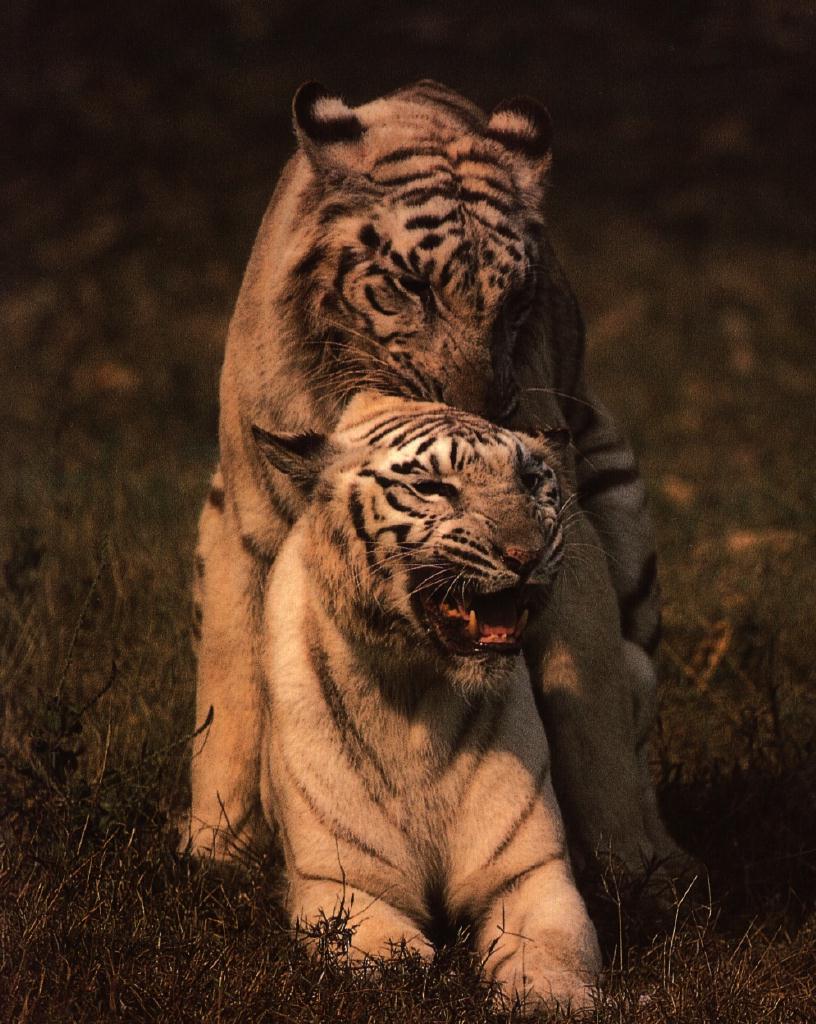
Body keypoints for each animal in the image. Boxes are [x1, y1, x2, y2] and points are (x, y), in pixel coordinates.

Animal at [255, 393, 606, 1015]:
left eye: (531, 480)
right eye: (433, 488)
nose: (527, 554)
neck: (414, 692)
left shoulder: (528, 872)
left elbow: (554, 950)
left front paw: (553, 999)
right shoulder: (342, 884)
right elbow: (389, 965)